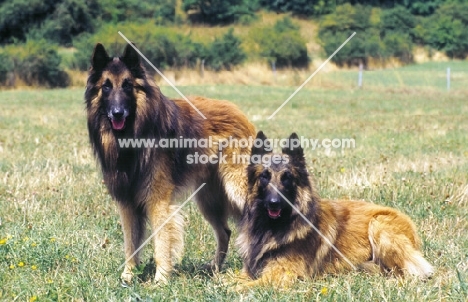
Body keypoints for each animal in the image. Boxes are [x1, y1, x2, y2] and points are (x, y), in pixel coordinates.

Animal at [86, 43, 258, 284]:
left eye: (127, 85)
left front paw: (161, 280)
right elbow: (131, 243)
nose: (117, 113)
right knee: (225, 232)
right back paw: (215, 267)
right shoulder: (127, 202)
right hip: (208, 200)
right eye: (106, 87)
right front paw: (128, 275)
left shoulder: (158, 201)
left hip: (236, 188)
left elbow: (161, 242)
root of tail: (239, 113)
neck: (134, 134)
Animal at [238, 132, 436, 288]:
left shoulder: (280, 274)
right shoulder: (249, 270)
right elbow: (233, 279)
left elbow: (241, 287)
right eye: (264, 176)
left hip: (379, 225)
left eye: (287, 178)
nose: (274, 203)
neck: (272, 227)